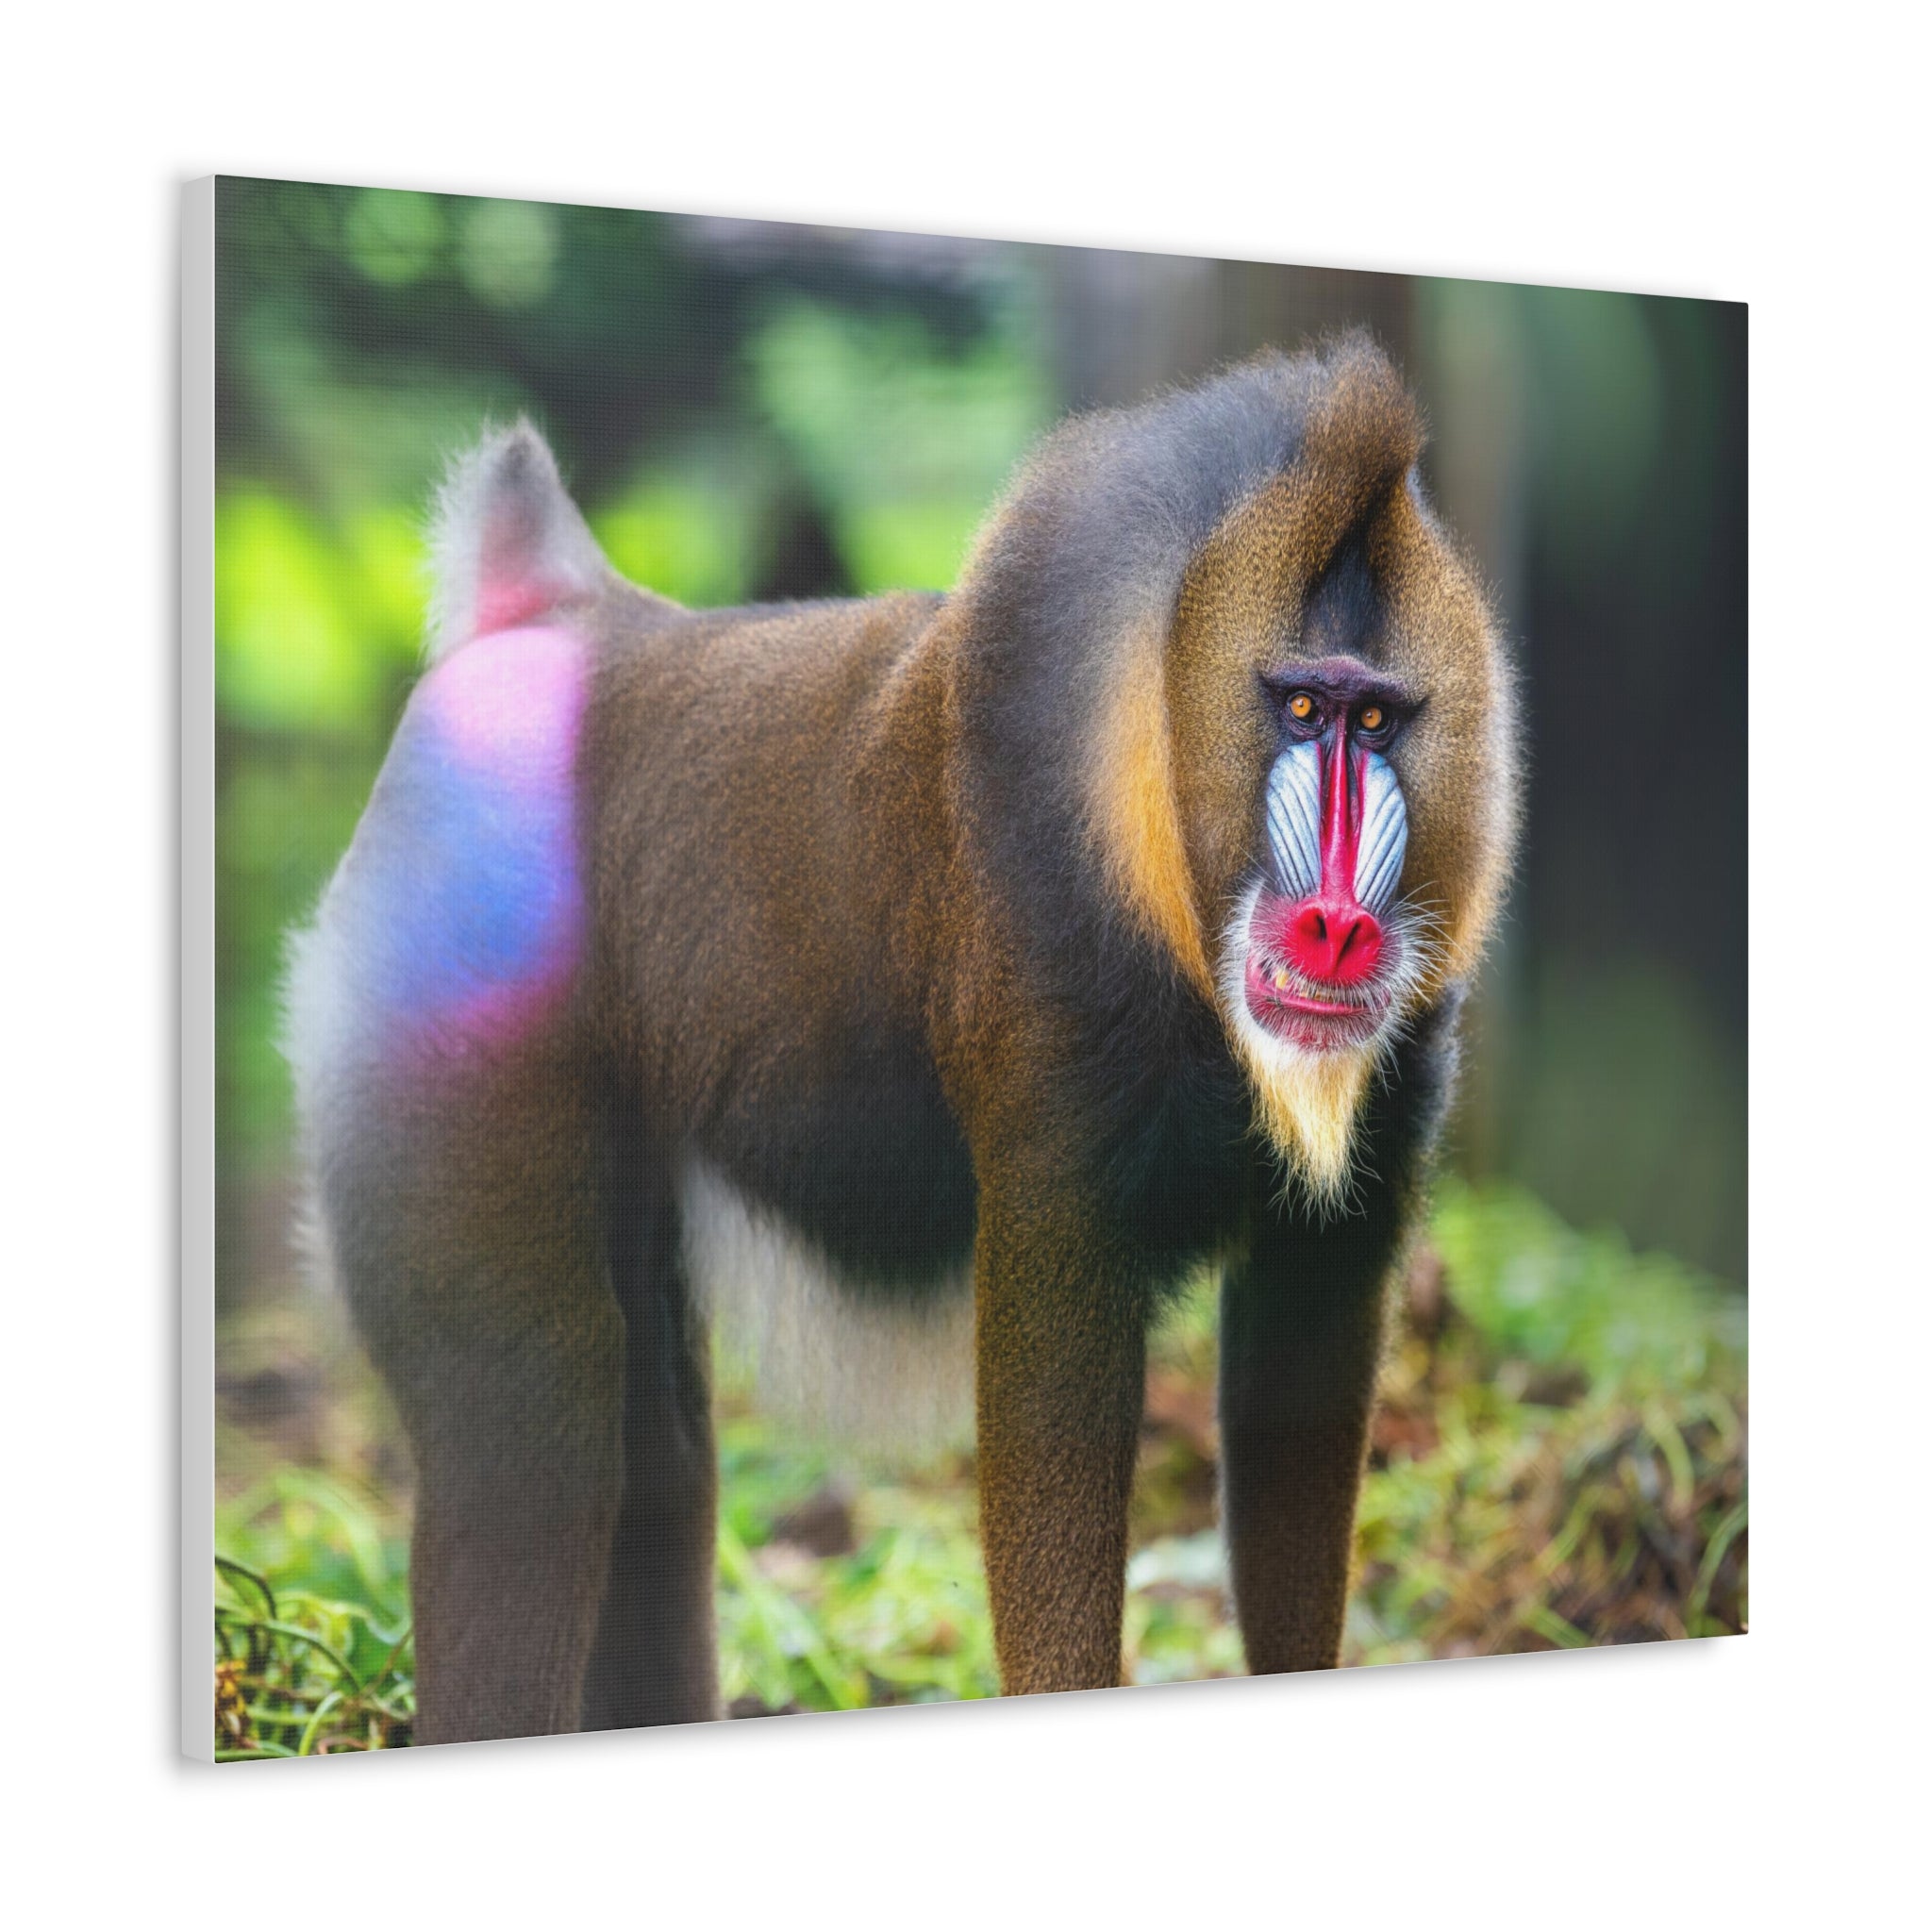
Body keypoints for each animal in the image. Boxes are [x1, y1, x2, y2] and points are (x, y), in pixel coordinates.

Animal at [283, 333, 1518, 1744]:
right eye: (1301, 712)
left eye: (1375, 723)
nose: (1336, 928)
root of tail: (548, 618)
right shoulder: (1053, 1154)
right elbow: (1046, 1423)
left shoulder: (1352, 1204)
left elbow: (1294, 1406)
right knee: (532, 1427)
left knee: (657, 1448)